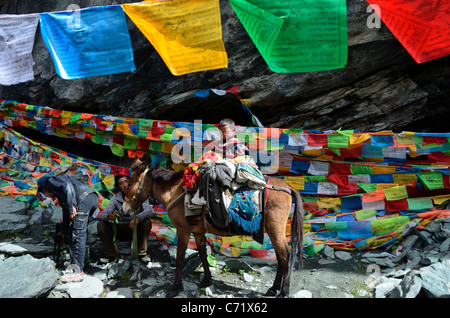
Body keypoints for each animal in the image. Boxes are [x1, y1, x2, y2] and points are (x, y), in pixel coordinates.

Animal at [123, 159, 304, 298]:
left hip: (275, 230)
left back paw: (283, 292)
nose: (124, 210)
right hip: (274, 232)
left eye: (130, 184)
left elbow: (180, 258)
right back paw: (273, 289)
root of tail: (287, 187)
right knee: (280, 258)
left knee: (285, 257)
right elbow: (203, 254)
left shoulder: (182, 230)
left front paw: (175, 287)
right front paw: (206, 280)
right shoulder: (197, 232)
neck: (174, 191)